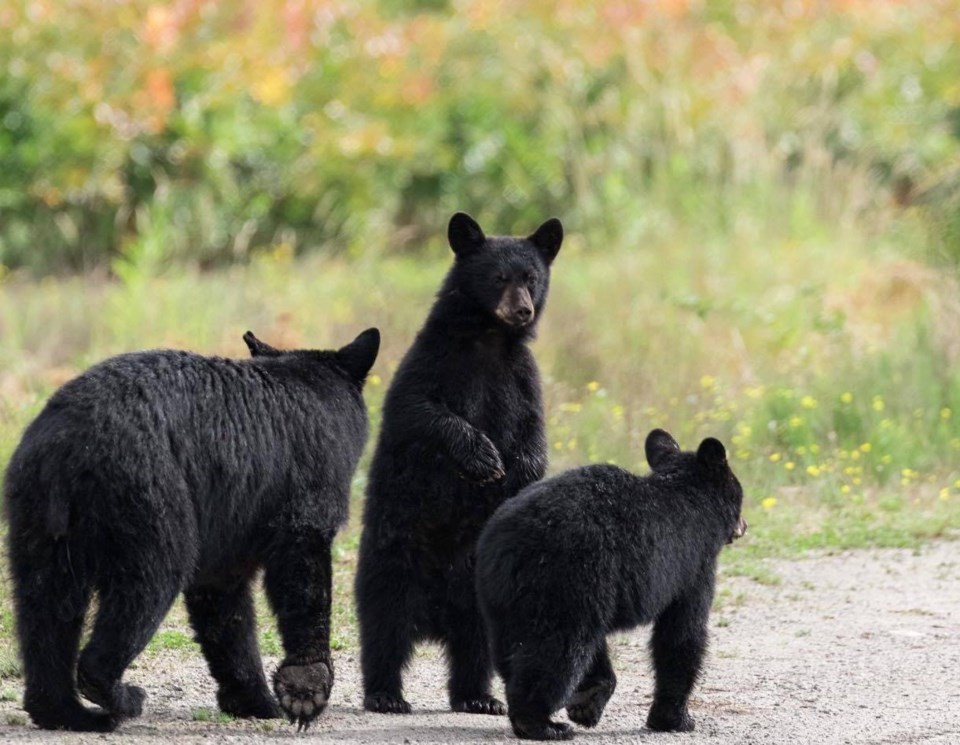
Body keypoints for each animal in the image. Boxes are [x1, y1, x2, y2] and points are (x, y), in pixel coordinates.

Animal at [2, 328, 378, 728]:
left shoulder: (228, 528)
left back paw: (66, 712)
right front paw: (305, 689)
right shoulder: (305, 489)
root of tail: (70, 444)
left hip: (37, 516)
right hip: (150, 497)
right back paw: (122, 698)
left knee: (45, 608)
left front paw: (254, 700)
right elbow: (304, 579)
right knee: (147, 584)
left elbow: (224, 610)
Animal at [354, 211, 564, 716]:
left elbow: (533, 429)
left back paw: (479, 697)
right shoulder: (431, 362)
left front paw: (522, 470)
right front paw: (485, 457)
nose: (522, 310)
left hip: (481, 587)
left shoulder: (522, 377)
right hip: (392, 557)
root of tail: (434, 619)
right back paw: (386, 695)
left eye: (531, 278)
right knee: (384, 626)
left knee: (475, 643)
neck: (489, 338)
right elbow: (421, 409)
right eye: (499, 277)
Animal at [478, 430, 752, 740]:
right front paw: (675, 718)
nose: (744, 525)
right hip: (564, 582)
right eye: (740, 494)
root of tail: (506, 545)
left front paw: (588, 701)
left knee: (517, 648)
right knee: (558, 649)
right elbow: (682, 633)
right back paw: (541, 723)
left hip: (501, 598)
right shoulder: (693, 566)